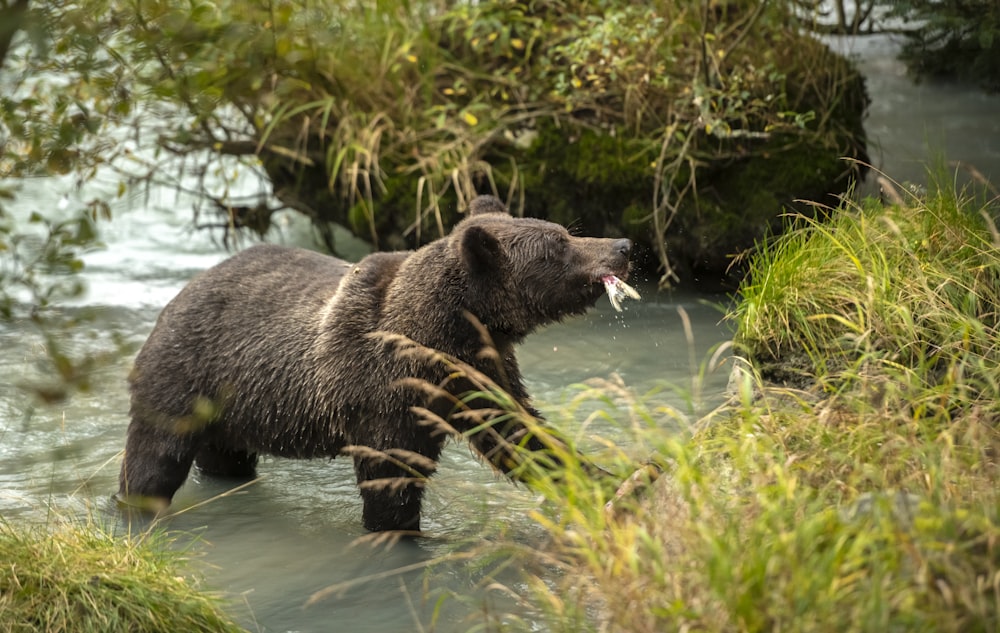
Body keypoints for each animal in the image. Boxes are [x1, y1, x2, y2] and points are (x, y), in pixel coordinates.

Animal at [119, 195, 632, 532]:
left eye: (565, 231)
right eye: (559, 244)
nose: (623, 246)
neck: (444, 333)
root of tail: (180, 293)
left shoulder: (479, 372)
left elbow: (521, 436)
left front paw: (613, 479)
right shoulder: (383, 391)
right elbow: (392, 476)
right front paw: (399, 530)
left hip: (232, 406)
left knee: (225, 457)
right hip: (186, 373)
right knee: (154, 459)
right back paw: (134, 505)